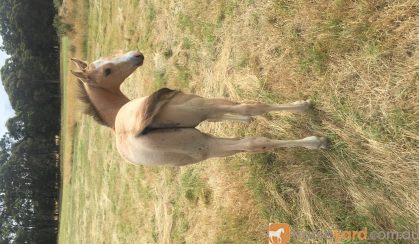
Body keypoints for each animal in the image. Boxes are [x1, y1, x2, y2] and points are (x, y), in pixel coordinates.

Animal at [70, 51, 330, 166]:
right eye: (107, 71)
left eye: (107, 58)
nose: (137, 55)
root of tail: (130, 129)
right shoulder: (203, 108)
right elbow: (247, 109)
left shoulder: (208, 118)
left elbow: (233, 114)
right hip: (198, 115)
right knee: (254, 123)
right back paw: (314, 135)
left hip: (200, 145)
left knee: (248, 141)